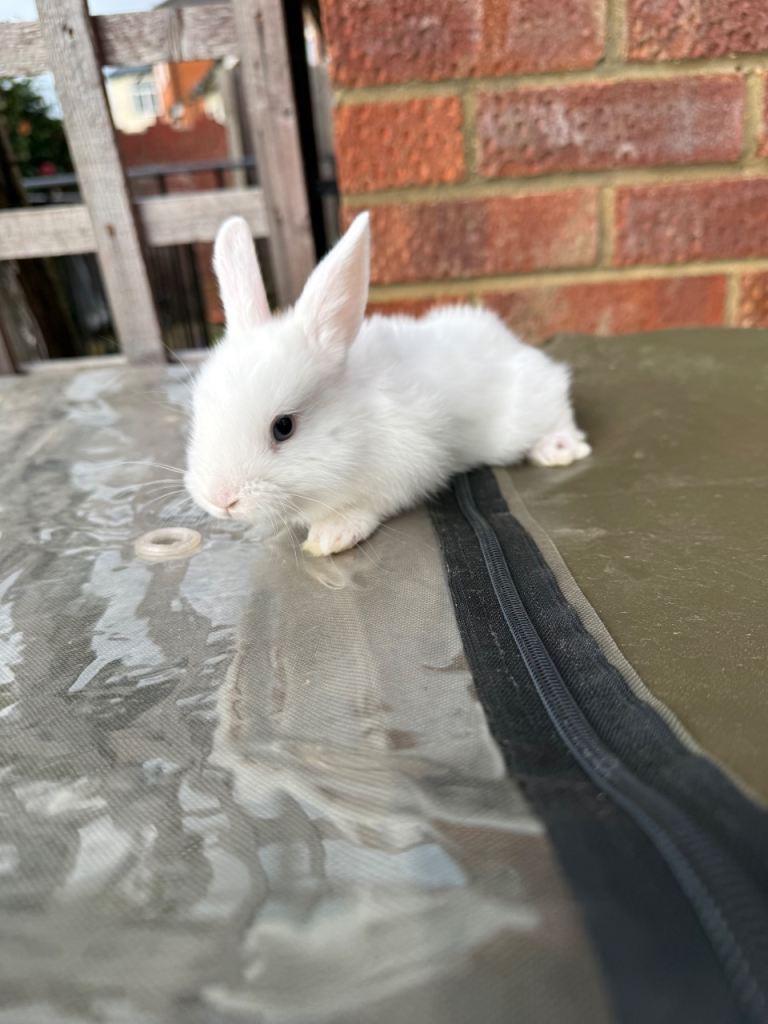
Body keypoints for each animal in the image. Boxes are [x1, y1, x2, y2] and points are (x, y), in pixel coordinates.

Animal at [185, 212, 591, 556]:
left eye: (283, 427)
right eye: (199, 415)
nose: (221, 499)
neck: (356, 420)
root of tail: (513, 343)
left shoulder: (410, 461)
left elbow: (370, 503)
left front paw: (332, 534)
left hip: (526, 412)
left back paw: (557, 449)